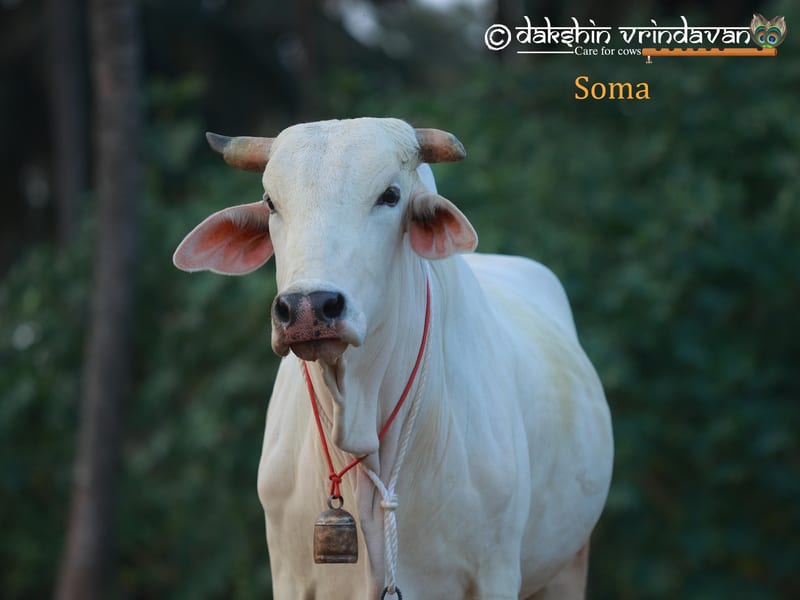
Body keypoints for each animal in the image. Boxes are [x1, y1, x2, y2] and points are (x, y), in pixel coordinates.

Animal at [173, 117, 613, 599]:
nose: (308, 307)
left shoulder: (494, 574)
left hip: (569, 564)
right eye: (272, 202)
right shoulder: (289, 577)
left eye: (389, 195)